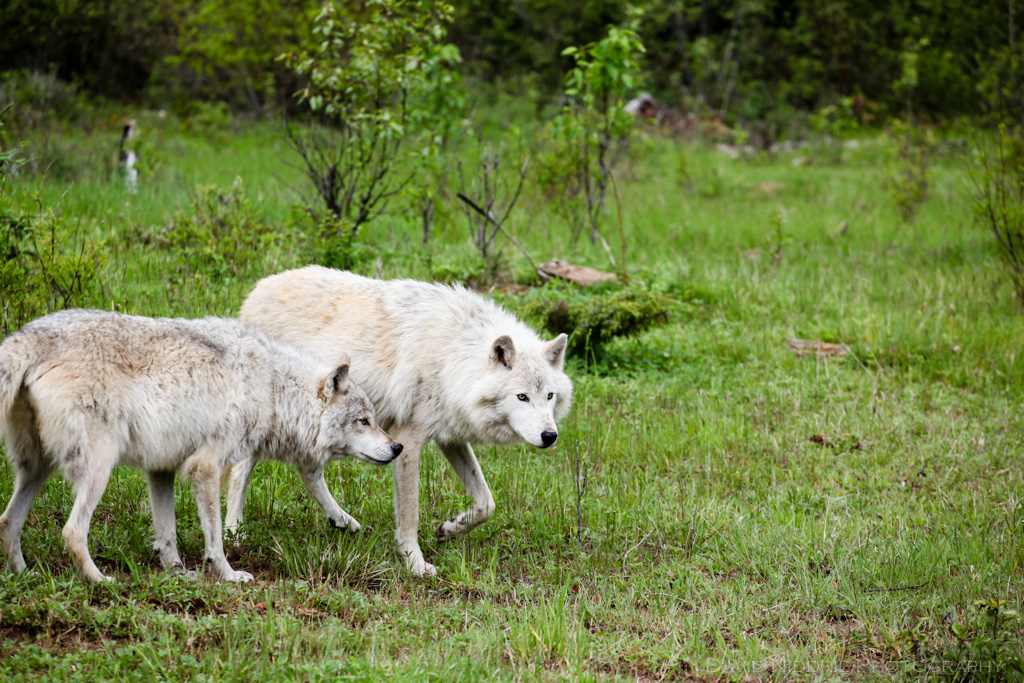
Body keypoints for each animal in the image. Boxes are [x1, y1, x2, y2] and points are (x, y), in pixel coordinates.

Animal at [0, 309, 402, 583]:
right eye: (364, 421)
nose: (397, 447)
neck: (271, 387)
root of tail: (30, 336)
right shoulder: (206, 467)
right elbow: (216, 537)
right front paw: (229, 575)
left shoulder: (161, 469)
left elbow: (167, 535)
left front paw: (178, 574)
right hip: (98, 470)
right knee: (71, 531)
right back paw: (100, 581)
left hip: (36, 470)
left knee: (8, 521)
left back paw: (24, 576)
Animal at [229, 266, 573, 577]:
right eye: (522, 397)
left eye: (549, 396)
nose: (550, 436)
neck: (455, 355)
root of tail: (256, 290)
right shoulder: (407, 438)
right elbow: (410, 514)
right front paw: (414, 563)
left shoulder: (451, 437)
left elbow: (487, 503)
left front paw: (450, 528)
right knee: (240, 472)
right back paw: (235, 532)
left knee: (308, 471)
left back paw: (341, 519)